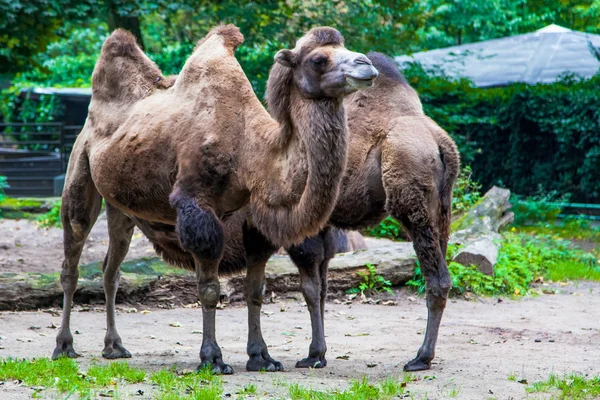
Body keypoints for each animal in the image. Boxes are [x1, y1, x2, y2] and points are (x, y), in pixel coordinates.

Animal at [54, 25, 378, 376]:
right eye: (318, 59)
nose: (367, 65)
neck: (251, 150)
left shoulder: (254, 223)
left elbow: (255, 290)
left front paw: (261, 357)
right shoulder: (196, 206)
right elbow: (209, 290)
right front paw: (213, 359)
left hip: (120, 206)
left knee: (111, 269)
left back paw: (114, 347)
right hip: (80, 168)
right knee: (72, 255)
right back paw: (64, 347)